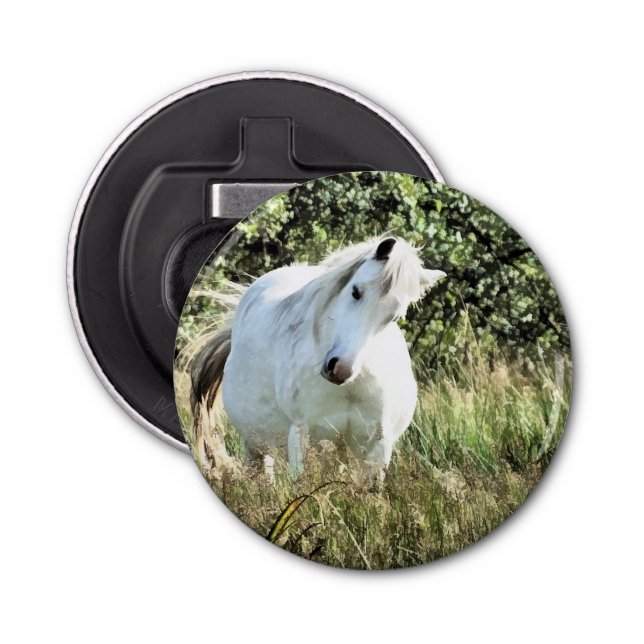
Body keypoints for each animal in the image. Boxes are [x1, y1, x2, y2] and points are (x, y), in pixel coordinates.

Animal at [191, 236, 445, 478]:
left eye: (394, 316)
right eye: (356, 291)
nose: (340, 369)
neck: (351, 388)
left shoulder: (377, 447)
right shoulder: (301, 436)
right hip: (256, 446)